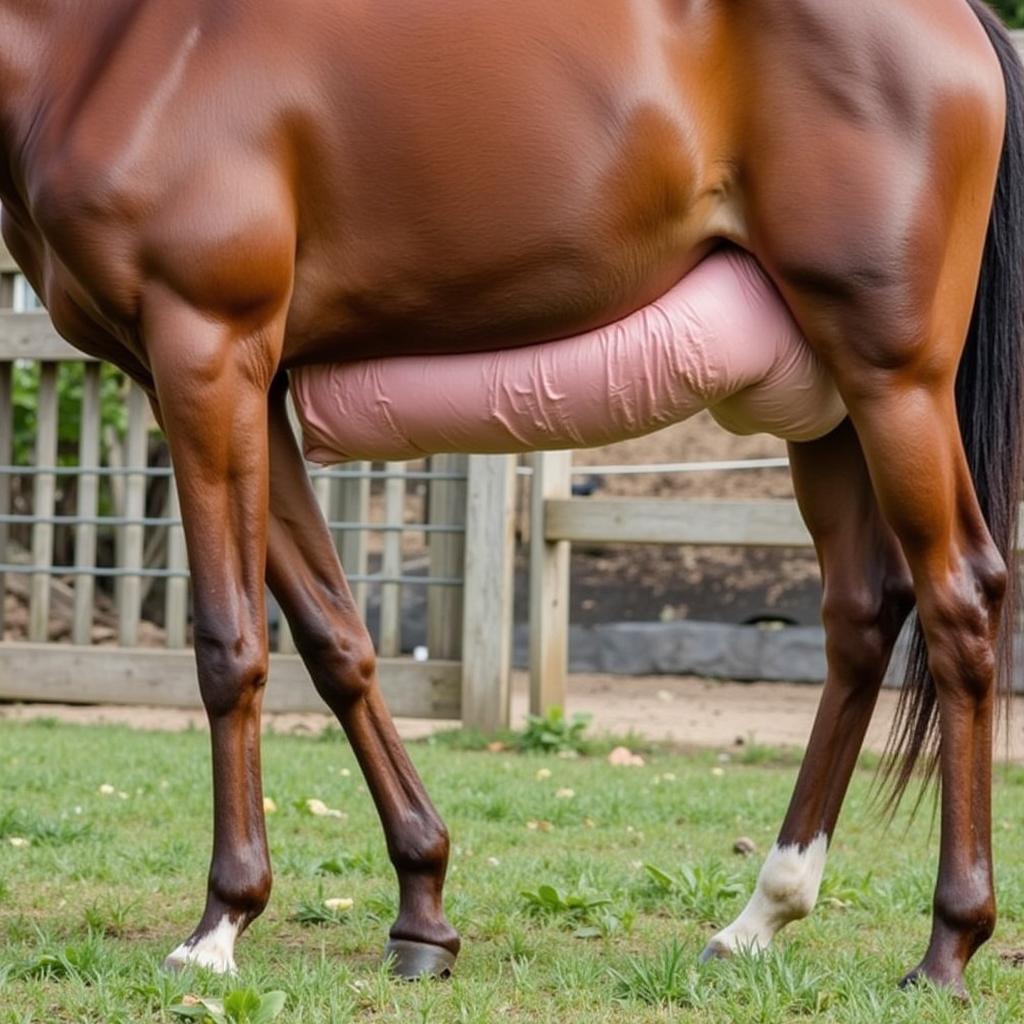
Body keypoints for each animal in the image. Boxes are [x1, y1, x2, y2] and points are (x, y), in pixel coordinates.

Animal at [2, 0, 1024, 995]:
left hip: (892, 375)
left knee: (959, 597)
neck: (104, 44)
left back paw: (947, 947)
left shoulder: (206, 352)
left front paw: (220, 926)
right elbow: (336, 640)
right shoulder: (245, 380)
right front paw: (422, 912)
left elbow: (231, 646)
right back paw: (759, 918)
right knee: (861, 613)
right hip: (823, 402)